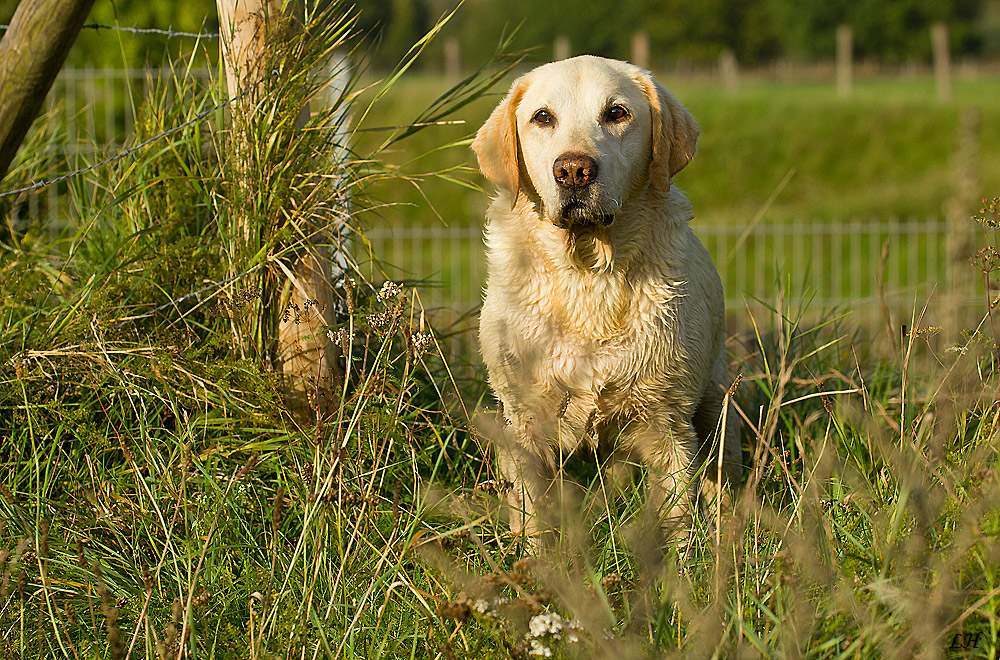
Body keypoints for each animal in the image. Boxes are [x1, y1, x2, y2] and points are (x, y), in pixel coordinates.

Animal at [472, 56, 740, 544]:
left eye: (616, 113)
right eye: (543, 117)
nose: (574, 170)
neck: (588, 272)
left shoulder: (669, 422)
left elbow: (678, 514)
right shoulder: (525, 422)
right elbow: (534, 514)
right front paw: (535, 560)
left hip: (716, 405)